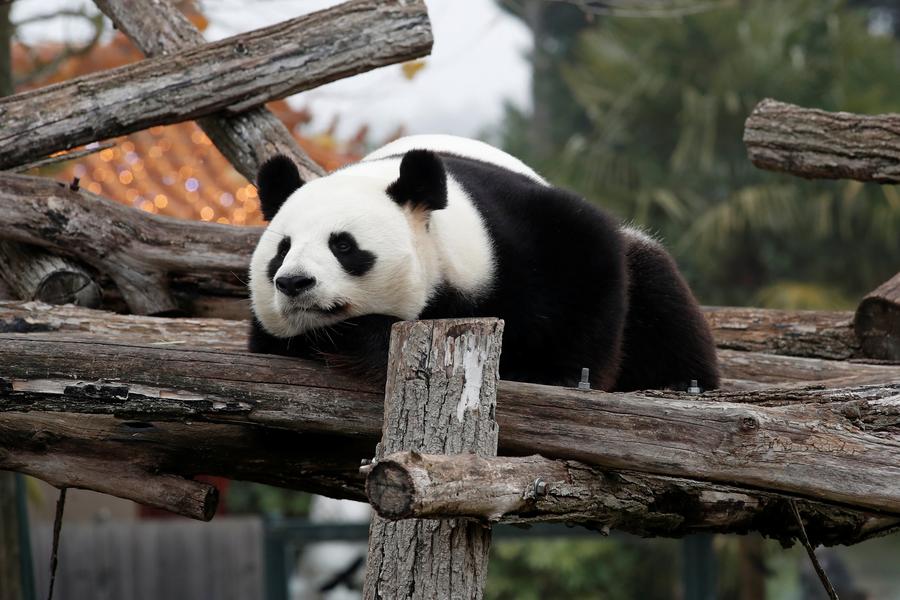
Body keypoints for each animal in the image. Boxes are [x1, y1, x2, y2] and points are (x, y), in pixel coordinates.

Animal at [248, 135, 719, 391]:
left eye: (343, 246)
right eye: (282, 250)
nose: (294, 282)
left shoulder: (514, 237)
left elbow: (586, 263)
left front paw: (559, 375)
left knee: (657, 291)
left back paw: (683, 381)